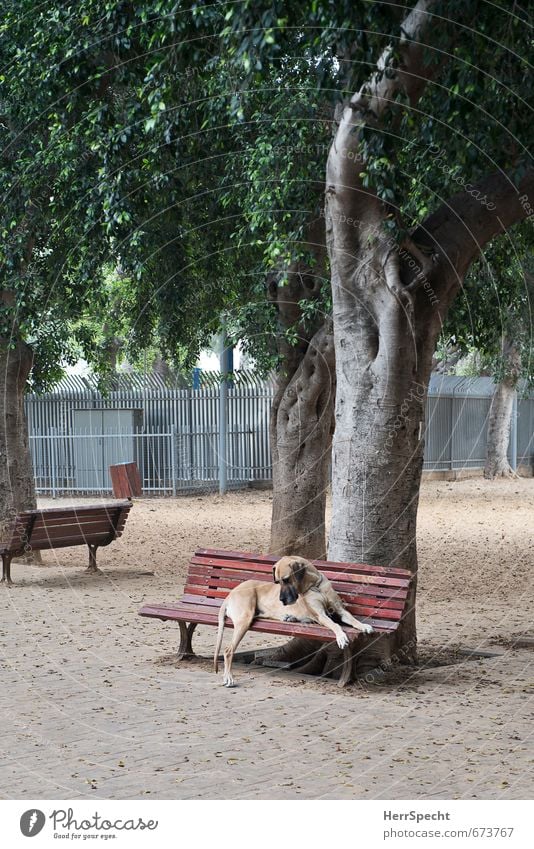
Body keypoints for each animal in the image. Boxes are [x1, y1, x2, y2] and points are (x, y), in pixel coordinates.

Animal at [213, 552, 372, 684]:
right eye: (277, 582)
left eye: (286, 579)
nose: (282, 600)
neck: (315, 586)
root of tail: (230, 594)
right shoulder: (320, 615)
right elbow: (335, 625)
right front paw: (341, 637)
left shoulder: (340, 610)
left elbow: (352, 619)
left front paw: (364, 626)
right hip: (245, 617)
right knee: (228, 650)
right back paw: (228, 677)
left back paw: (289, 618)